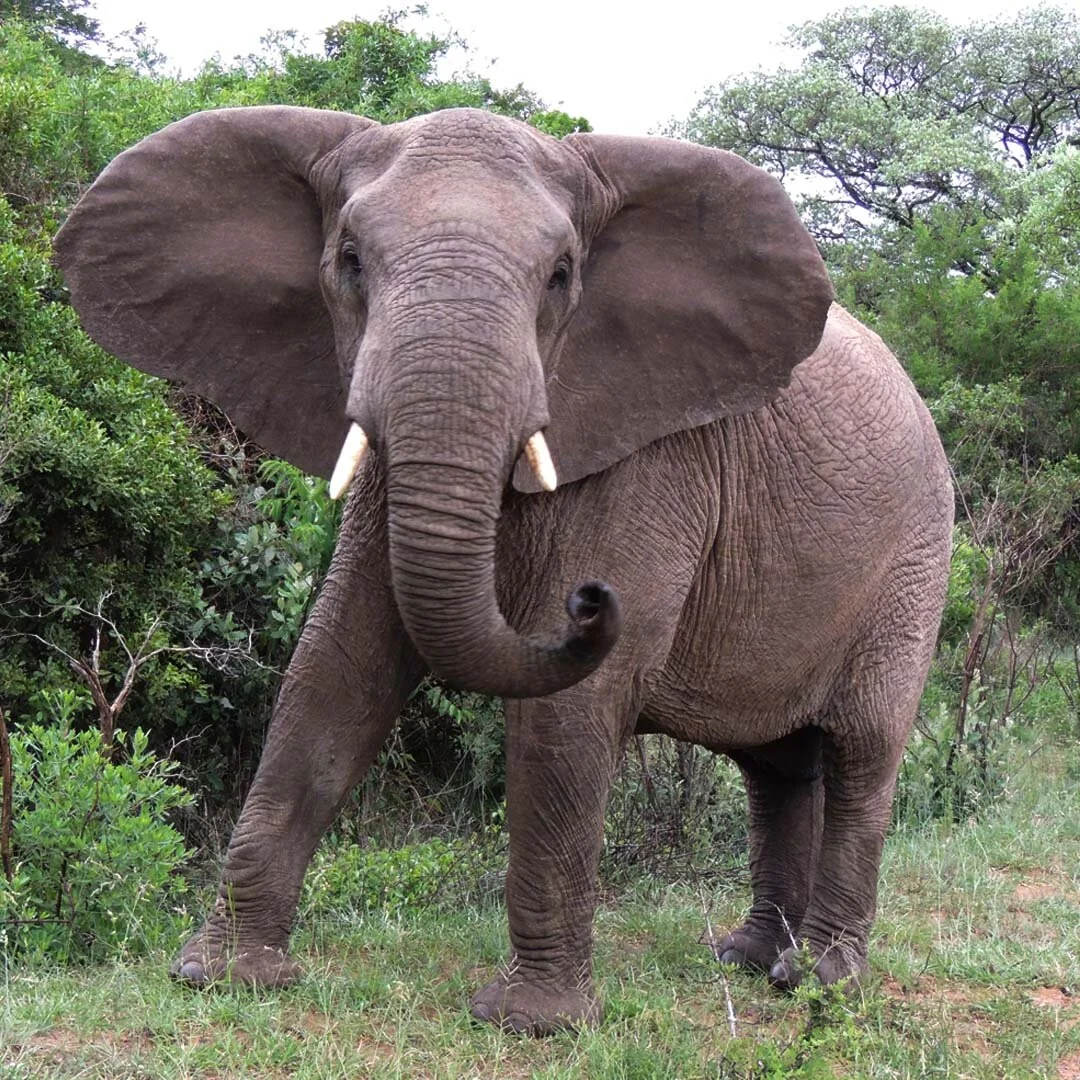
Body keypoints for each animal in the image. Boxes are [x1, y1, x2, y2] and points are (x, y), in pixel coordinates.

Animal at [54, 105, 953, 1035]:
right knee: (775, 765)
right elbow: (334, 672)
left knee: (863, 751)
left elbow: (566, 711)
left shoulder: (656, 462)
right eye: (349, 262)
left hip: (916, 561)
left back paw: (819, 982)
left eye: (560, 277)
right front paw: (220, 976)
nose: (590, 601)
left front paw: (531, 1023)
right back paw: (749, 960)